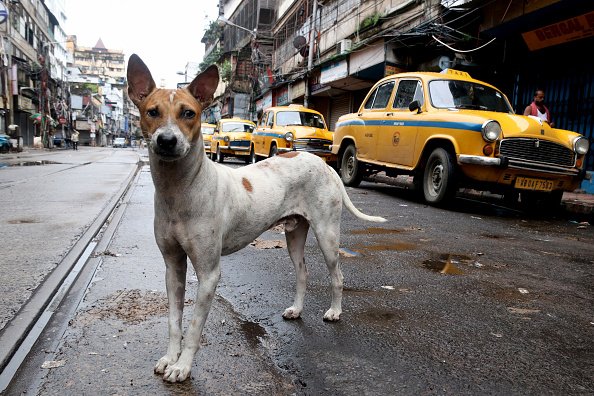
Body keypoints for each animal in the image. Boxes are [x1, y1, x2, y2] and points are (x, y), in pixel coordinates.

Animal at [126, 54, 384, 382]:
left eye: (188, 113)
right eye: (152, 112)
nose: (167, 141)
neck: (181, 188)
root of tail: (324, 164)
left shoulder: (209, 273)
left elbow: (194, 326)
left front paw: (182, 366)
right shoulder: (173, 267)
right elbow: (174, 321)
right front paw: (170, 358)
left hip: (327, 234)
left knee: (337, 276)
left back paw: (335, 312)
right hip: (294, 234)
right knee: (302, 273)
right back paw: (296, 309)